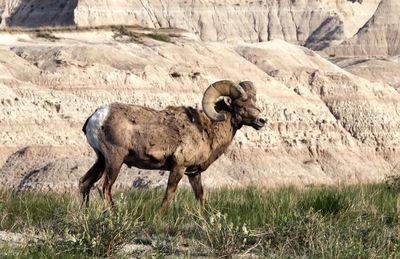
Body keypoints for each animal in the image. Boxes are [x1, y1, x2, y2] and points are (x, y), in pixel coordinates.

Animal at [78, 80, 266, 211]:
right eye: (240, 105)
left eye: (254, 103)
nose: (262, 120)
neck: (207, 130)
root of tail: (97, 116)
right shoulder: (178, 168)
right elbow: (169, 194)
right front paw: (157, 217)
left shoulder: (194, 173)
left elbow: (200, 196)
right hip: (114, 159)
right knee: (104, 187)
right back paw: (114, 214)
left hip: (101, 160)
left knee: (84, 183)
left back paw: (84, 215)